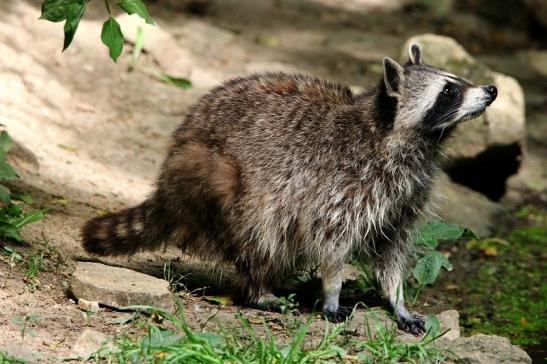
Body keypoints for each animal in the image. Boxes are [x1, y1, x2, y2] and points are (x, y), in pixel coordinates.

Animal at [81, 43, 496, 336]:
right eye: (449, 91)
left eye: (456, 80)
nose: (491, 89)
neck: (404, 137)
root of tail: (167, 183)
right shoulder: (344, 183)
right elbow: (331, 240)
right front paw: (332, 291)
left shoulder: (405, 194)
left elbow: (392, 249)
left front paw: (396, 299)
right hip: (214, 175)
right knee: (255, 229)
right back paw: (258, 288)